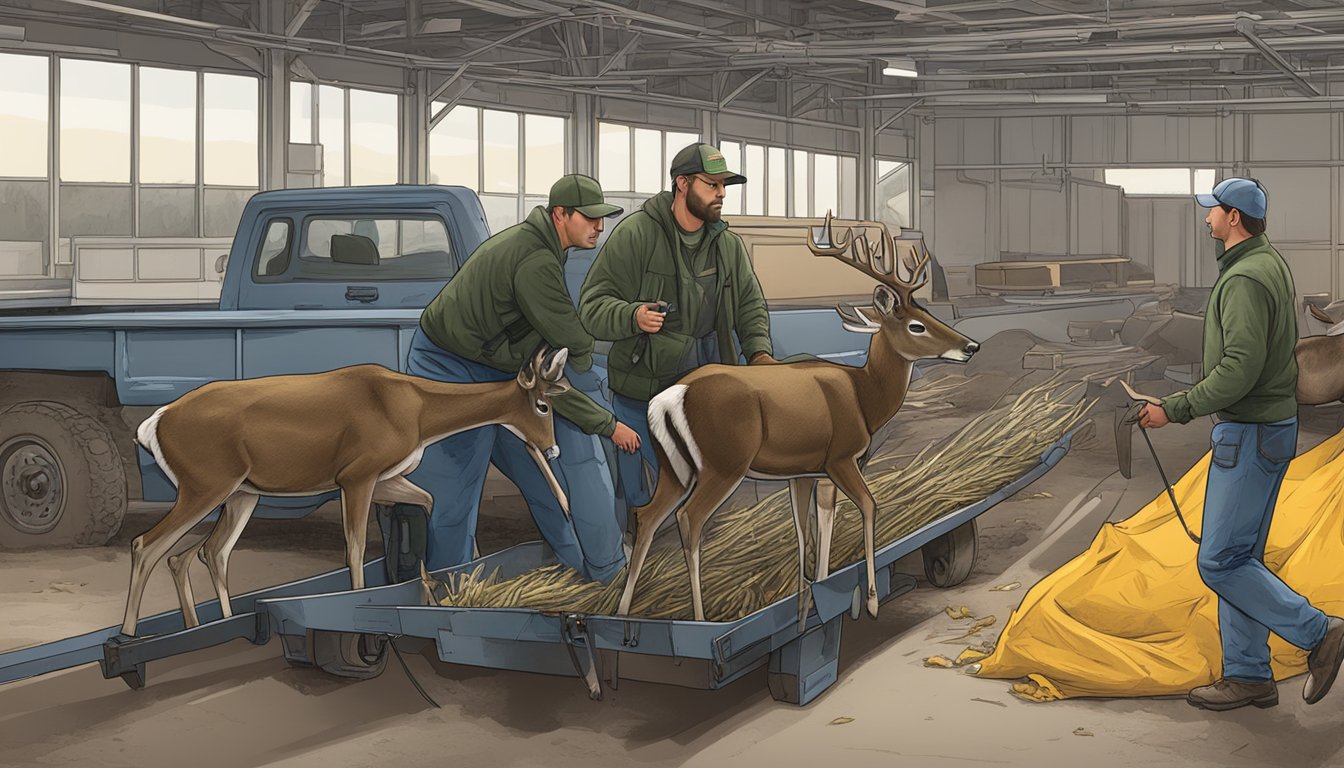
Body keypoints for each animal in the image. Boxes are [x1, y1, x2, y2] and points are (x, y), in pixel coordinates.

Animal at [116, 347, 572, 637]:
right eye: (543, 406)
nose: (553, 449)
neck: (415, 410)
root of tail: (155, 422)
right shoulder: (356, 476)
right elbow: (354, 547)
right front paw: (355, 604)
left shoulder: (385, 478)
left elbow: (428, 501)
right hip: (206, 486)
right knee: (146, 545)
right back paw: (129, 634)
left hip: (239, 493)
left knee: (202, 553)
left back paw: (207, 624)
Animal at [615, 215, 978, 624]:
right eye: (916, 326)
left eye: (929, 315)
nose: (971, 346)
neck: (864, 396)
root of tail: (670, 396)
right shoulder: (842, 457)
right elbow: (869, 507)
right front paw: (870, 600)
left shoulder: (807, 471)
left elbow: (813, 525)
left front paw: (814, 594)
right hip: (724, 463)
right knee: (689, 519)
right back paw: (699, 618)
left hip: (674, 467)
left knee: (646, 515)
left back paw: (623, 611)